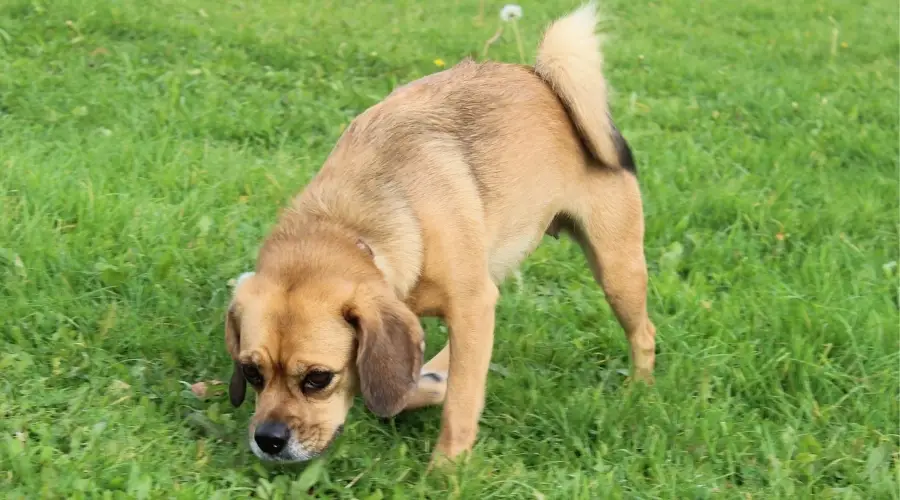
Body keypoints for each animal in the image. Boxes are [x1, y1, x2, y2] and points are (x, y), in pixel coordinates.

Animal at [223, 2, 660, 464]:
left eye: (318, 378)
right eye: (251, 372)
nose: (268, 440)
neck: (355, 222)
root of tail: (544, 79)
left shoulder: (471, 308)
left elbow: (460, 403)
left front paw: (447, 467)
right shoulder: (451, 314)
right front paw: (429, 386)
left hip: (617, 272)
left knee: (644, 335)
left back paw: (639, 391)